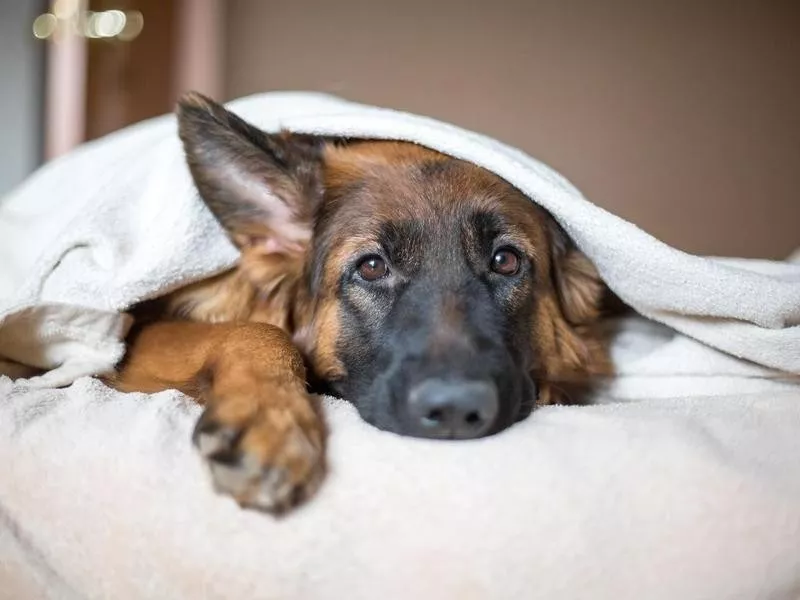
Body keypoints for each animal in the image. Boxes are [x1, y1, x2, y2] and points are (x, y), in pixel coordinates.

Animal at [109, 91, 612, 512]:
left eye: (505, 261)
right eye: (371, 267)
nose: (455, 410)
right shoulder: (136, 339)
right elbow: (259, 330)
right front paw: (269, 418)